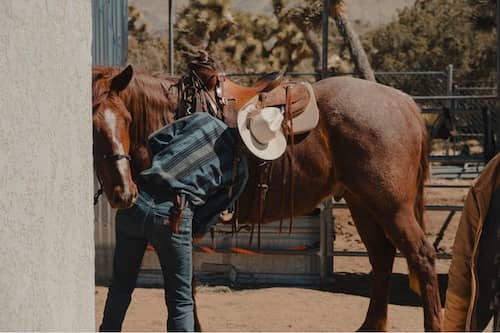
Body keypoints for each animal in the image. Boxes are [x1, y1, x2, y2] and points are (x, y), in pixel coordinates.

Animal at [93, 63, 442, 330]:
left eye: (125, 120)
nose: (123, 193)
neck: (173, 114)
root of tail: (406, 104)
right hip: (363, 205)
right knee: (382, 258)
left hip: (392, 208)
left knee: (421, 255)